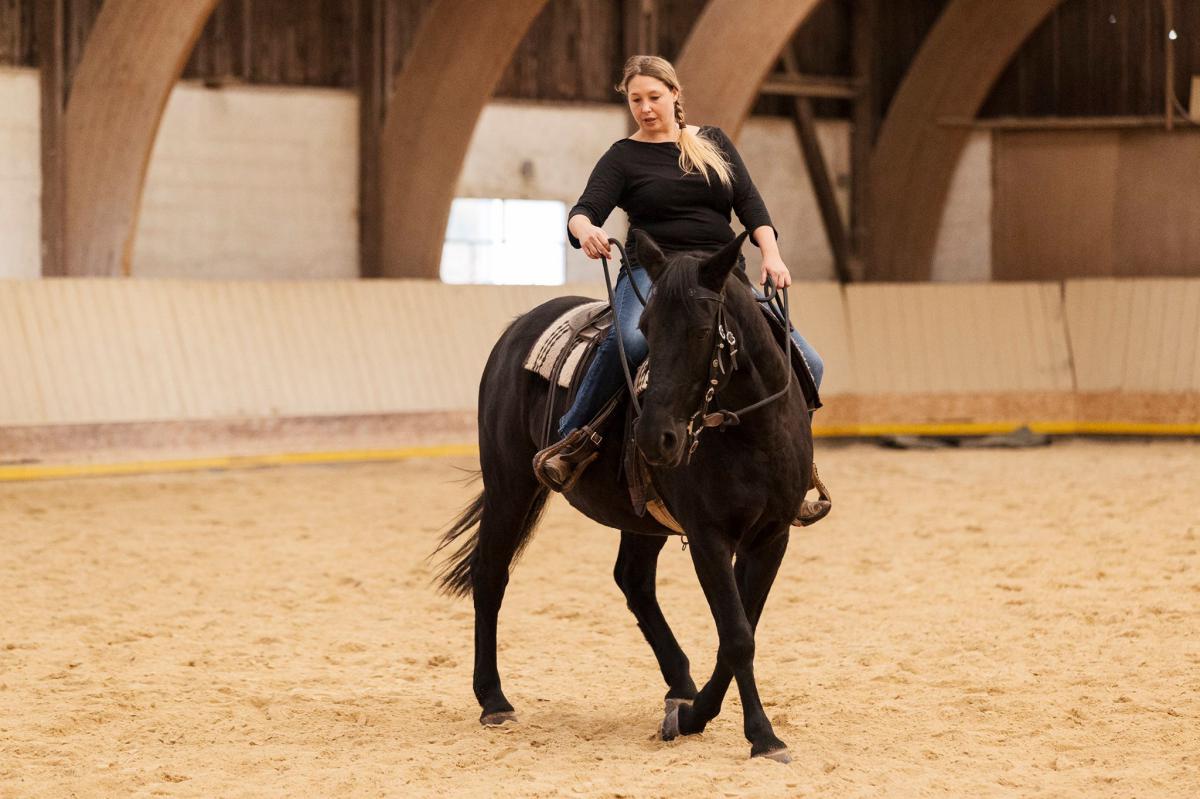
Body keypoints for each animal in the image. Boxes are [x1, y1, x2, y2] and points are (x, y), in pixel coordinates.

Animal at [434, 225, 816, 758]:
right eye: (648, 329)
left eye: (701, 332)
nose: (656, 437)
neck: (750, 431)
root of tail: (518, 329)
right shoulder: (708, 536)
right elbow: (738, 635)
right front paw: (761, 735)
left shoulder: (772, 536)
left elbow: (739, 630)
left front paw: (695, 716)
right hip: (509, 484)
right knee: (490, 574)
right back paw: (494, 700)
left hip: (640, 517)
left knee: (633, 581)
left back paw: (680, 686)